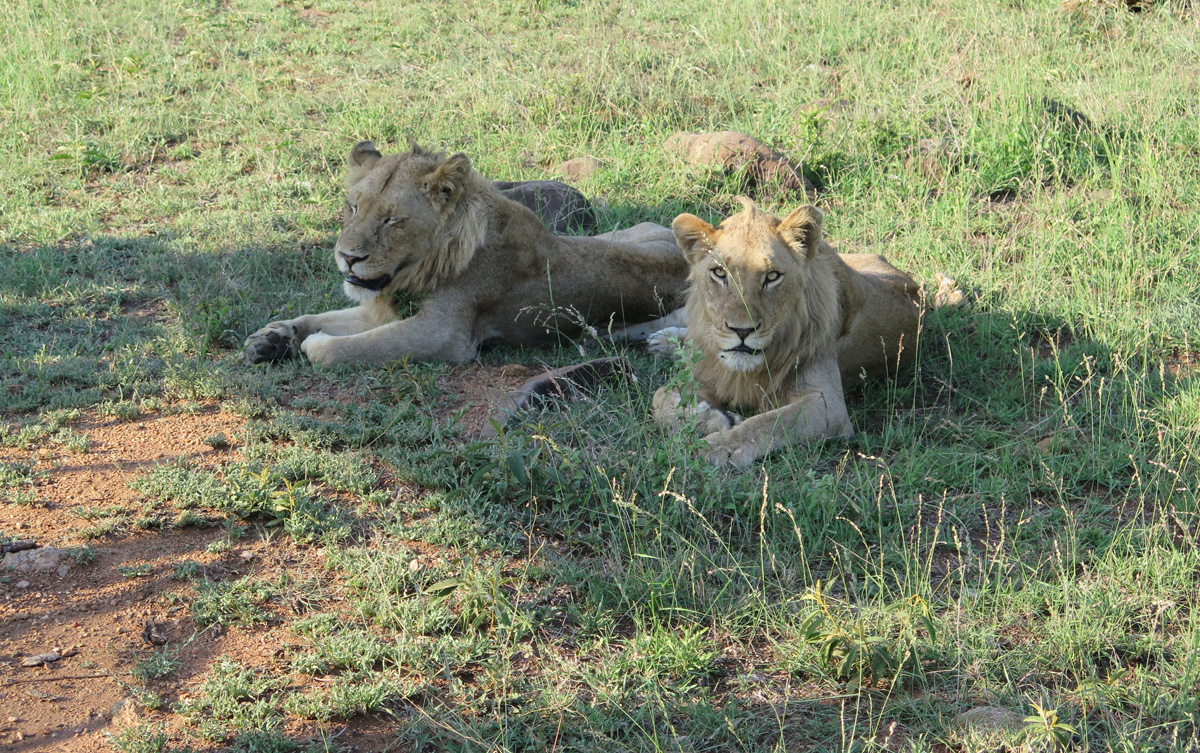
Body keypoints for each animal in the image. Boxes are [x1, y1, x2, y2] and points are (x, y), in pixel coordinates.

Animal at [242, 141, 689, 366]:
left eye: (392, 219)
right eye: (353, 207)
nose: (347, 258)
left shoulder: (444, 336)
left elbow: (344, 349)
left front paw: (311, 345)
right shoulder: (380, 307)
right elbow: (319, 317)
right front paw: (273, 338)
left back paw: (663, 343)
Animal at [647, 198, 923, 468]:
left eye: (772, 276)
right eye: (719, 273)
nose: (742, 330)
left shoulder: (828, 406)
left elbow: (766, 424)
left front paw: (716, 446)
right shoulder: (711, 372)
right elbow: (660, 396)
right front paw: (713, 420)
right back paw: (663, 340)